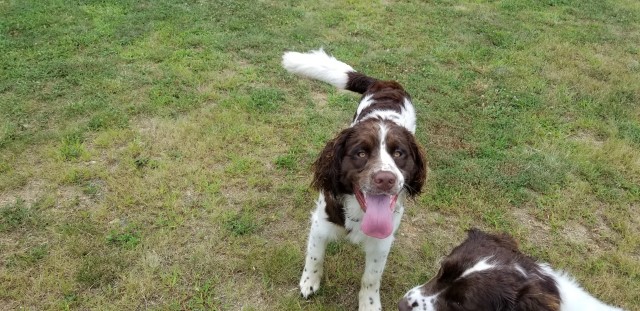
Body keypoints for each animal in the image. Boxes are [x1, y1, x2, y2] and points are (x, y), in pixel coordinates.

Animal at [282, 48, 424, 310]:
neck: (360, 213)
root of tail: (387, 83)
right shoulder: (320, 222)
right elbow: (314, 256)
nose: (386, 179)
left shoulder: (383, 241)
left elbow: (371, 278)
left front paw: (369, 304)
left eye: (399, 154)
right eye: (361, 153)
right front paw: (309, 282)